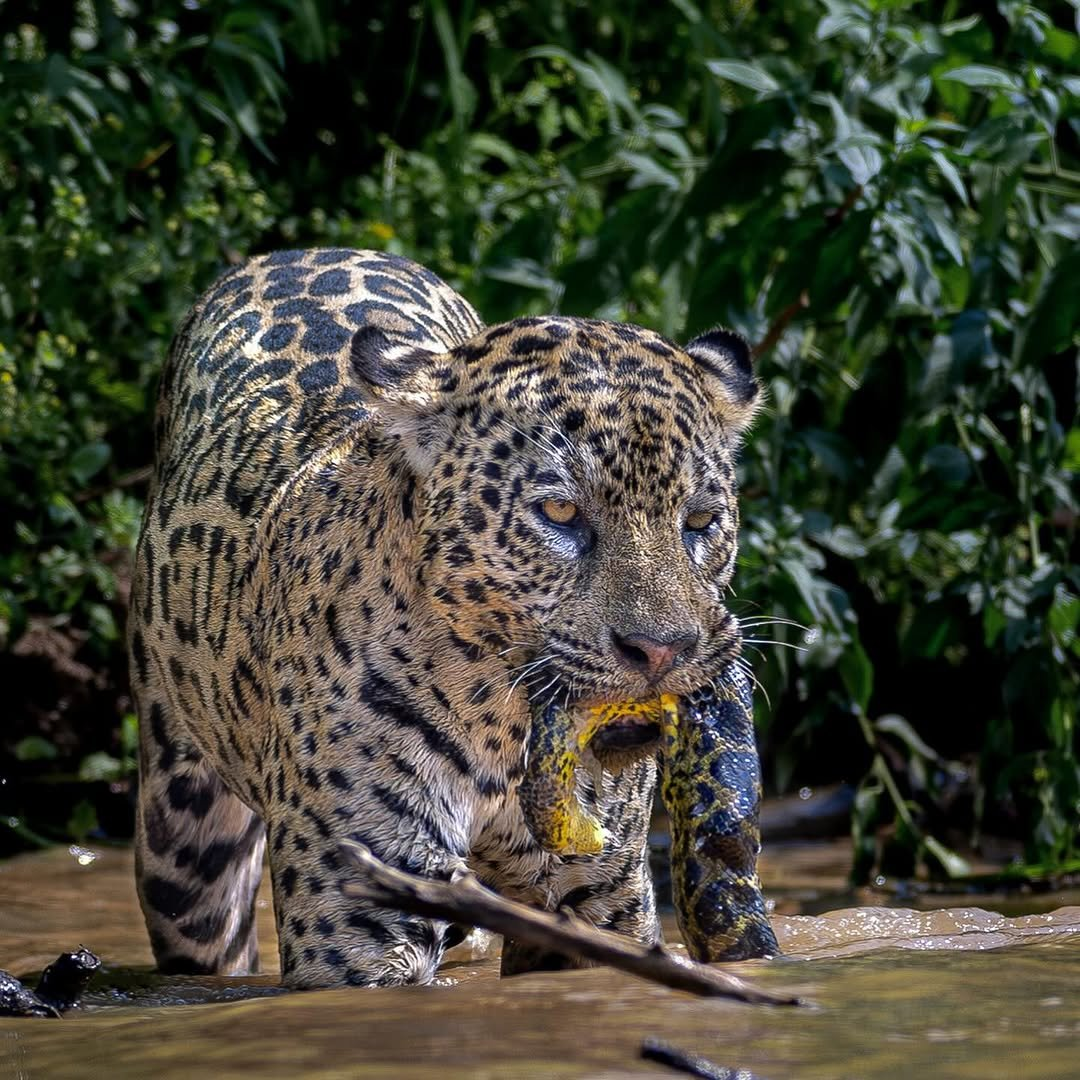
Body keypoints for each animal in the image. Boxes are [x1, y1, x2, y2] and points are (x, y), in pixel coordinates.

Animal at [128, 247, 761, 989]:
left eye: (701, 521)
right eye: (561, 512)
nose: (661, 651)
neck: (501, 725)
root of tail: (297, 249)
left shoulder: (603, 898)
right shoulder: (363, 915)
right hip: (185, 838)